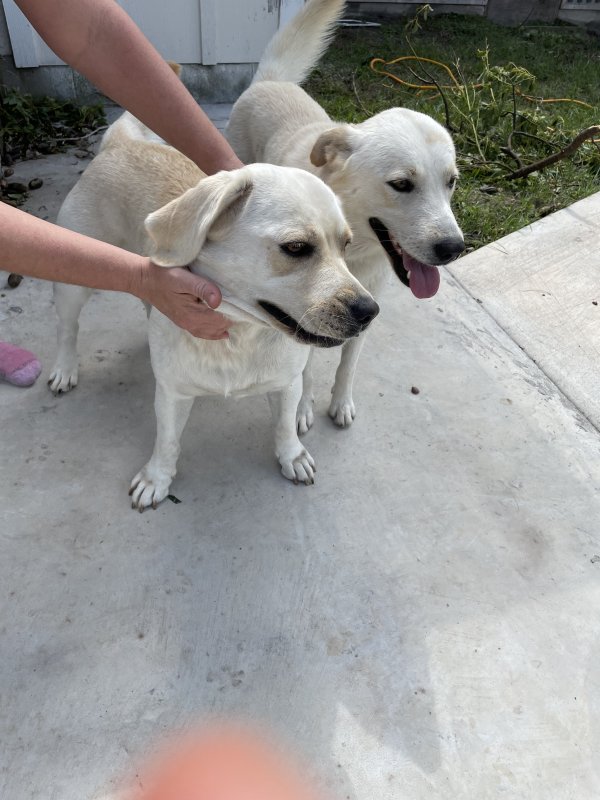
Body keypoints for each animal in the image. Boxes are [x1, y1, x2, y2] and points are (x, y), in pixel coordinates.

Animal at [49, 111, 378, 510]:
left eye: (346, 245)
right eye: (297, 247)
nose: (370, 310)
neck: (239, 336)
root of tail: (122, 143)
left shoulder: (287, 385)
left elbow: (284, 427)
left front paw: (292, 456)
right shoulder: (172, 394)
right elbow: (167, 442)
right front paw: (156, 478)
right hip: (71, 280)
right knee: (67, 328)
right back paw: (64, 368)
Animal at [227, 0, 466, 432]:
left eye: (451, 182)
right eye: (401, 184)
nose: (453, 249)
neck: (352, 250)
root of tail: (272, 80)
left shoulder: (368, 305)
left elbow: (349, 363)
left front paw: (340, 402)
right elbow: (305, 366)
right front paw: (302, 407)